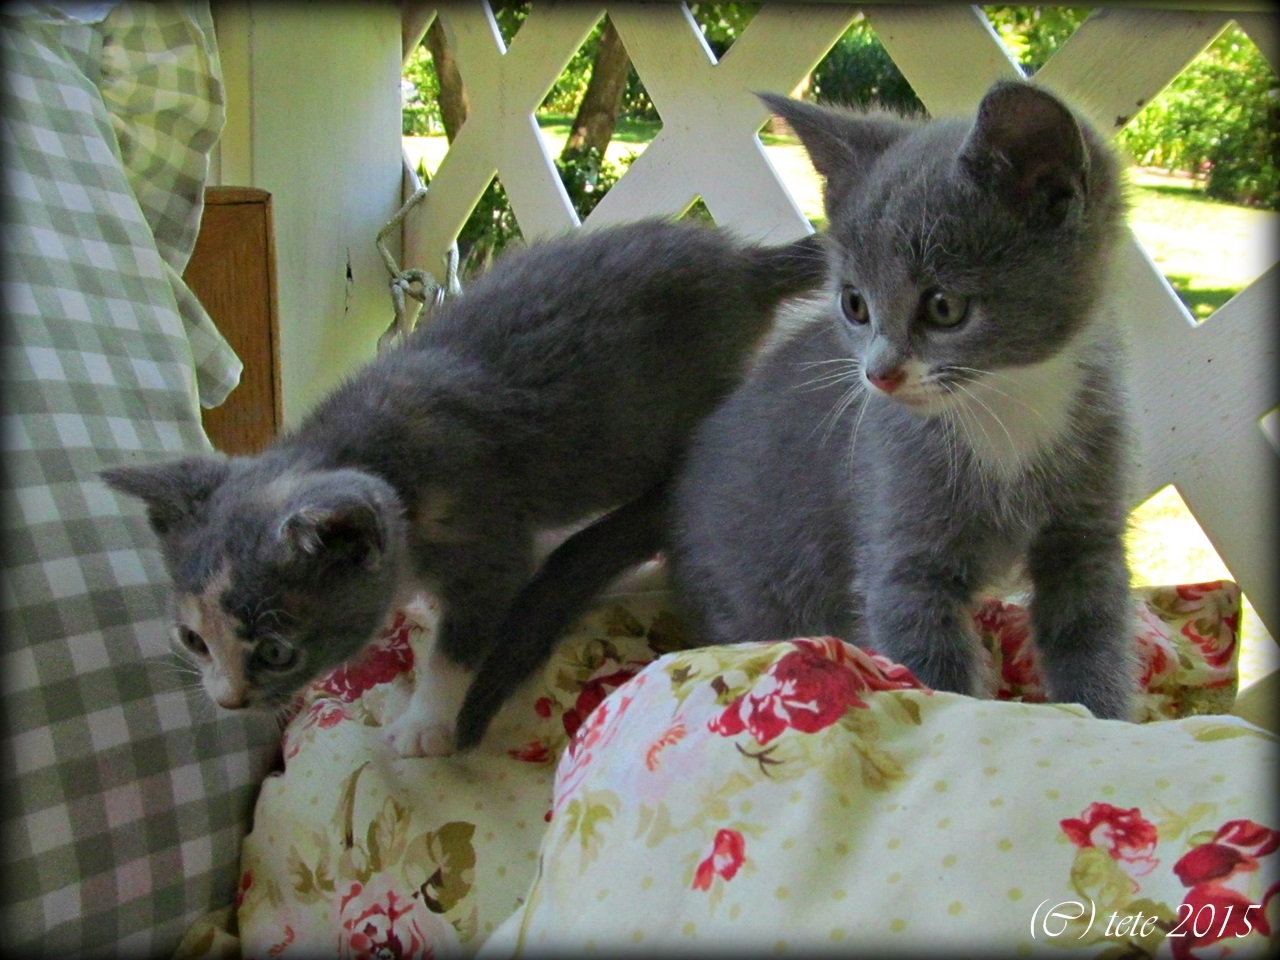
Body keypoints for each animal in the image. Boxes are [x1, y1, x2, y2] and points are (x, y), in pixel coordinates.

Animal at [102, 218, 827, 756]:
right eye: (193, 640)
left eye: (277, 652)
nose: (226, 699)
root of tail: (739, 264)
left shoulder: (484, 531)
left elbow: (464, 637)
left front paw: (425, 722)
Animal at [665, 80, 1138, 721]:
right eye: (855, 304)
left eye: (944, 307)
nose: (879, 374)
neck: (1006, 404)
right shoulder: (901, 533)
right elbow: (928, 659)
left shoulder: (1087, 530)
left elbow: (1092, 631)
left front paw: (1109, 721)